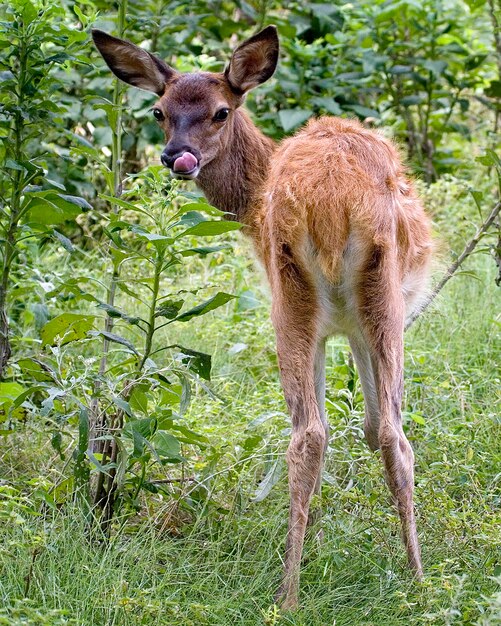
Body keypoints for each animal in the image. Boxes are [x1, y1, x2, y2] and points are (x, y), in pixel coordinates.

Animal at [92, 25, 432, 608]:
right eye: (159, 110)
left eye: (220, 111)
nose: (176, 156)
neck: (250, 210)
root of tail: (331, 200)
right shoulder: (349, 327)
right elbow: (364, 427)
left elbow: (364, 427)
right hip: (341, 299)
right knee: (360, 432)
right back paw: (382, 583)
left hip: (316, 300)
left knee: (341, 432)